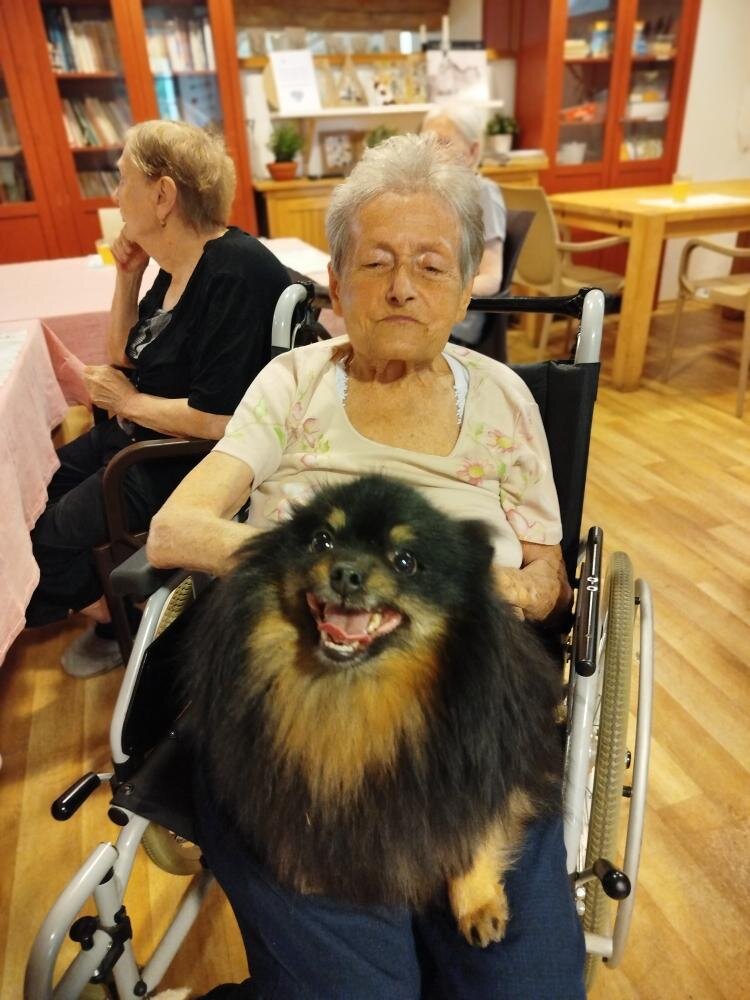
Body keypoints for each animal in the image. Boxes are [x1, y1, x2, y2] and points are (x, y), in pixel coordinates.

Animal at [184, 474, 564, 946]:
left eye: (405, 562)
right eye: (322, 541)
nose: (346, 573)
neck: (356, 689)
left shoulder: (487, 770)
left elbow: (473, 834)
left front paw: (477, 903)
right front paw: (312, 871)